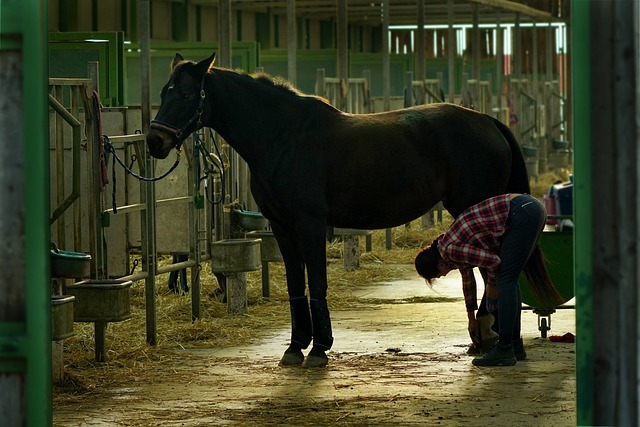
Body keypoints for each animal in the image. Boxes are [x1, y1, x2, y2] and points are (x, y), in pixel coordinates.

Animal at [148, 52, 532, 368]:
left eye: (186, 94)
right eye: (164, 92)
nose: (155, 142)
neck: (284, 137)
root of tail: (488, 121)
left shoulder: (311, 224)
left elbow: (317, 281)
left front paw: (319, 349)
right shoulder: (282, 227)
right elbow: (295, 285)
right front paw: (294, 347)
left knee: (497, 272)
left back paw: (499, 345)